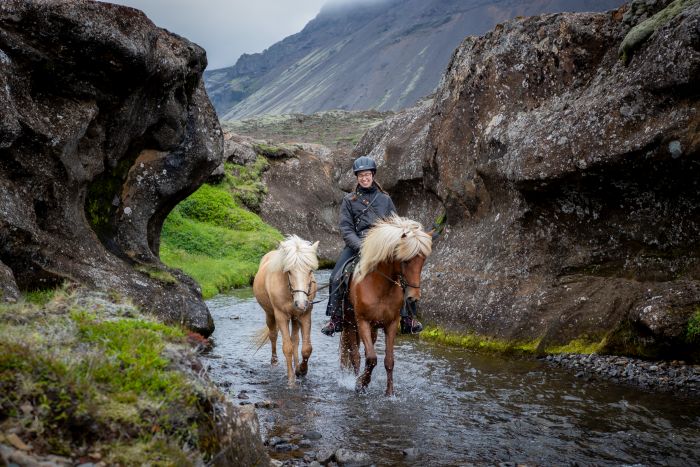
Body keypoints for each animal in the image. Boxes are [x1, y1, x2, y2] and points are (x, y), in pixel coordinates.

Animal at [253, 236, 318, 386]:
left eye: (310, 271)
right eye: (289, 271)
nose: (301, 303)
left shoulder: (305, 314)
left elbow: (306, 348)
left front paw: (301, 370)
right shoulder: (281, 316)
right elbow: (287, 348)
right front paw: (291, 381)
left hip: (295, 317)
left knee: (295, 340)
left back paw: (297, 366)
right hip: (270, 314)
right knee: (273, 335)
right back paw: (274, 361)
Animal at [340, 215, 432, 394]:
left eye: (423, 260)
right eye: (406, 261)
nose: (413, 297)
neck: (380, 288)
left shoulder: (391, 323)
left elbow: (389, 361)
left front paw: (389, 393)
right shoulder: (362, 322)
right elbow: (371, 358)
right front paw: (361, 384)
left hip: (373, 328)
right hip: (349, 323)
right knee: (355, 356)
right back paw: (355, 379)